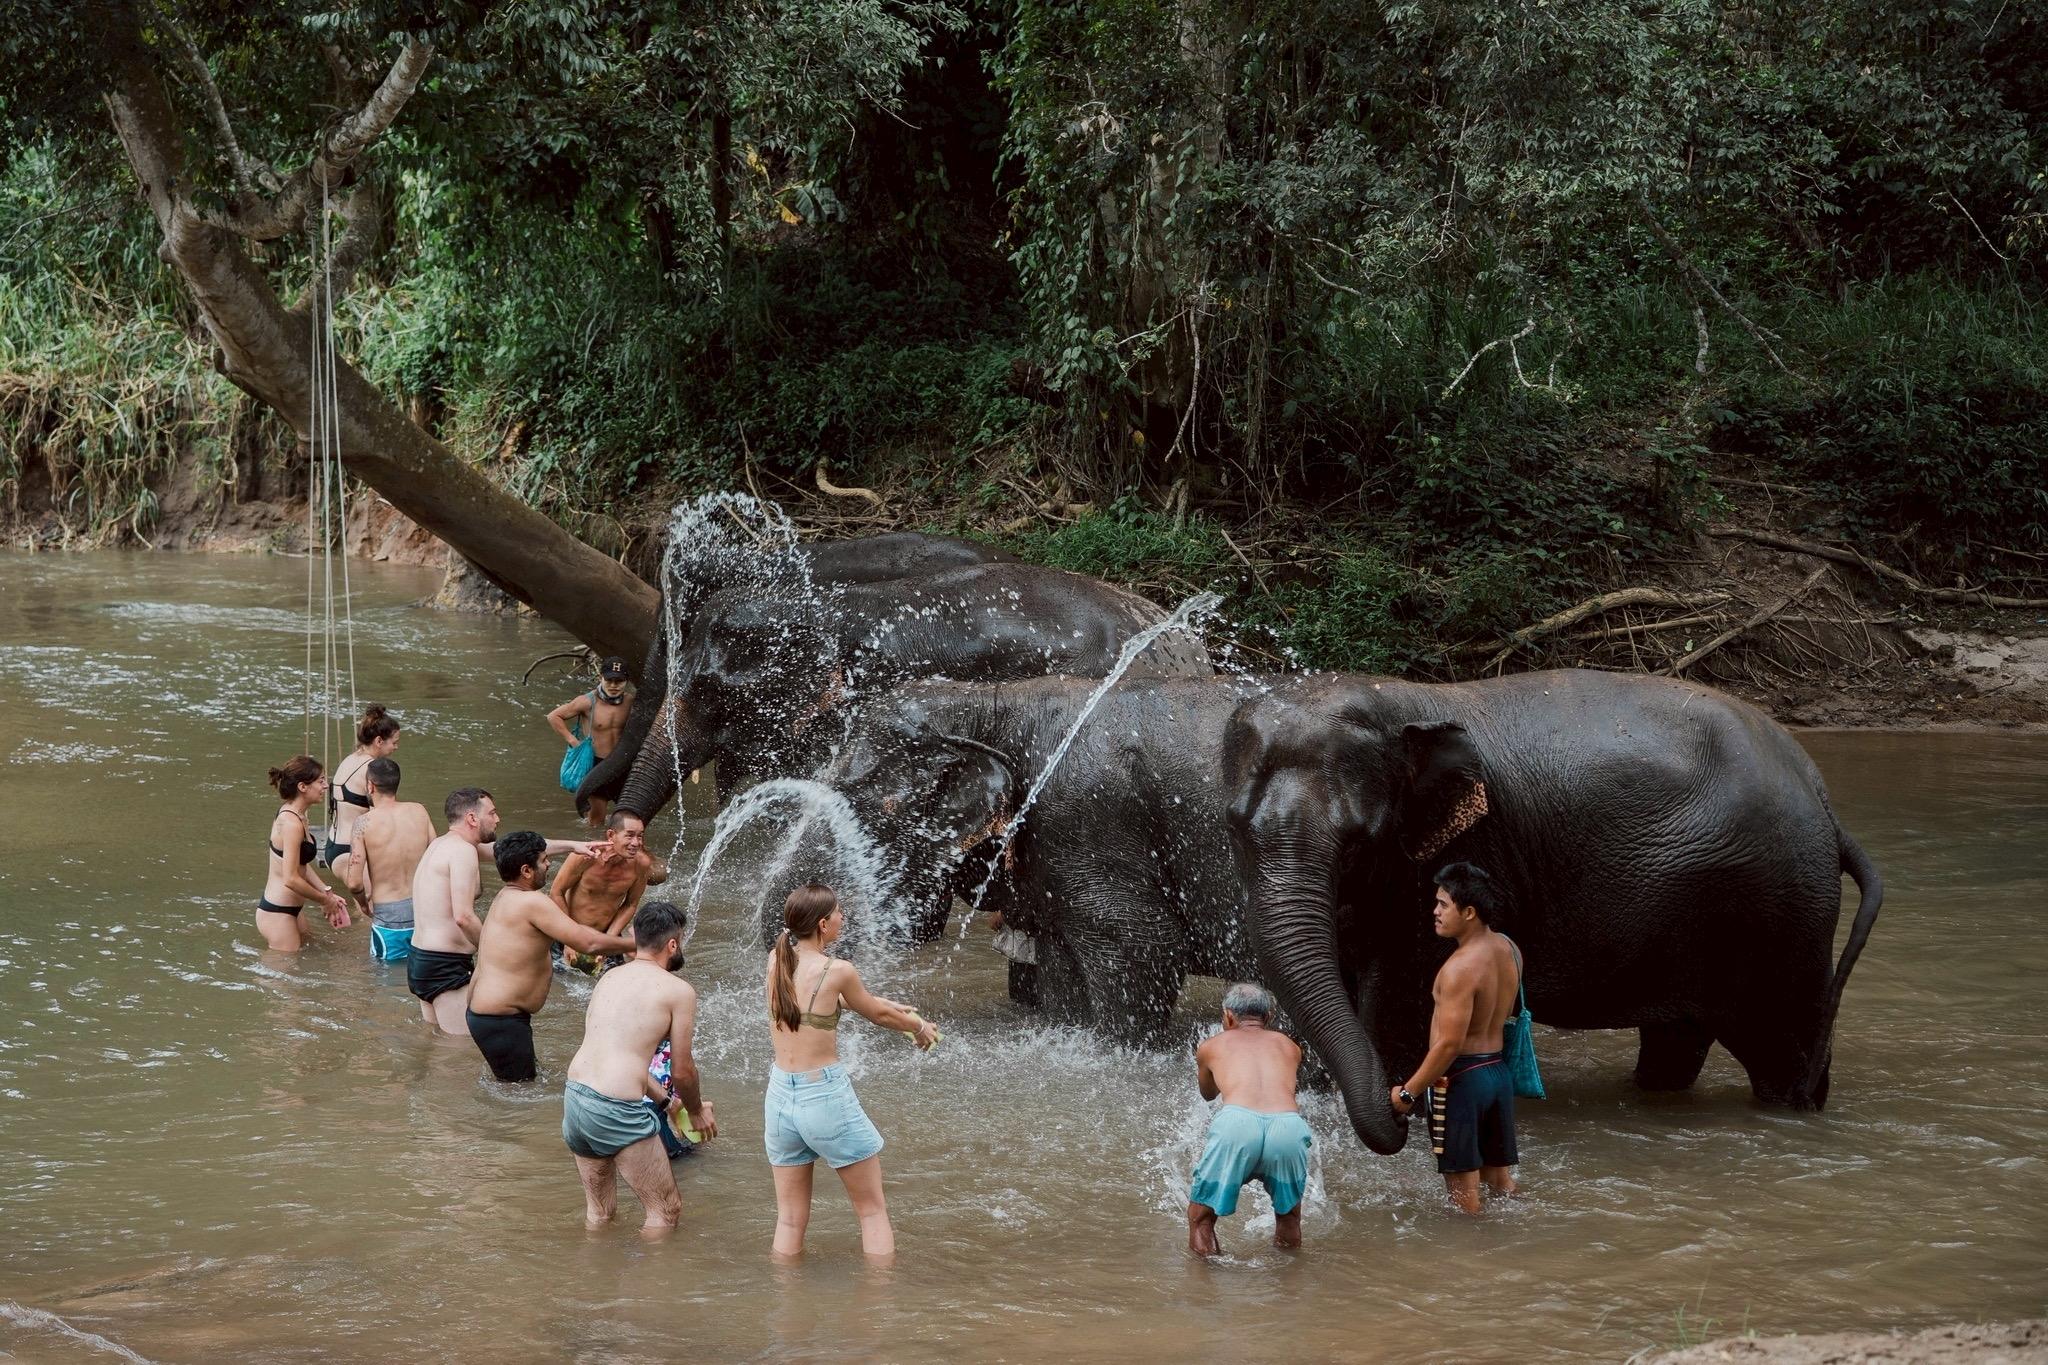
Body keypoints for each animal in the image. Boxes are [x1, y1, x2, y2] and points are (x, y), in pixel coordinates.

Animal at [1222, 669, 1885, 1153]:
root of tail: (1825, 802)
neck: (1396, 702)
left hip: (1780, 912)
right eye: (1234, 829)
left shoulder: (1463, 862)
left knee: (1781, 1052)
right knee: (1677, 1041)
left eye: (1360, 840)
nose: (1399, 1111)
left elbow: (1397, 1003)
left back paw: (1793, 1110)